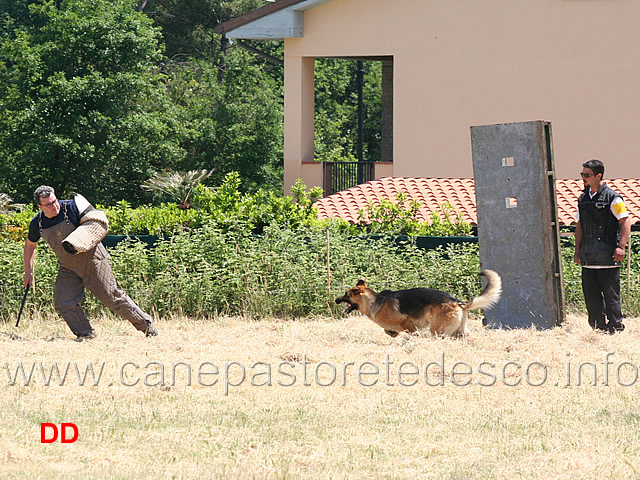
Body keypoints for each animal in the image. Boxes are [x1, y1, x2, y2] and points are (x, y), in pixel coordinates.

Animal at [336, 270, 500, 338]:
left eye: (346, 294)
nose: (336, 300)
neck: (374, 302)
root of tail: (457, 302)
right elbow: (387, 331)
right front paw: (393, 333)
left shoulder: (407, 322)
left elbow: (410, 332)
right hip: (459, 331)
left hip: (436, 329)